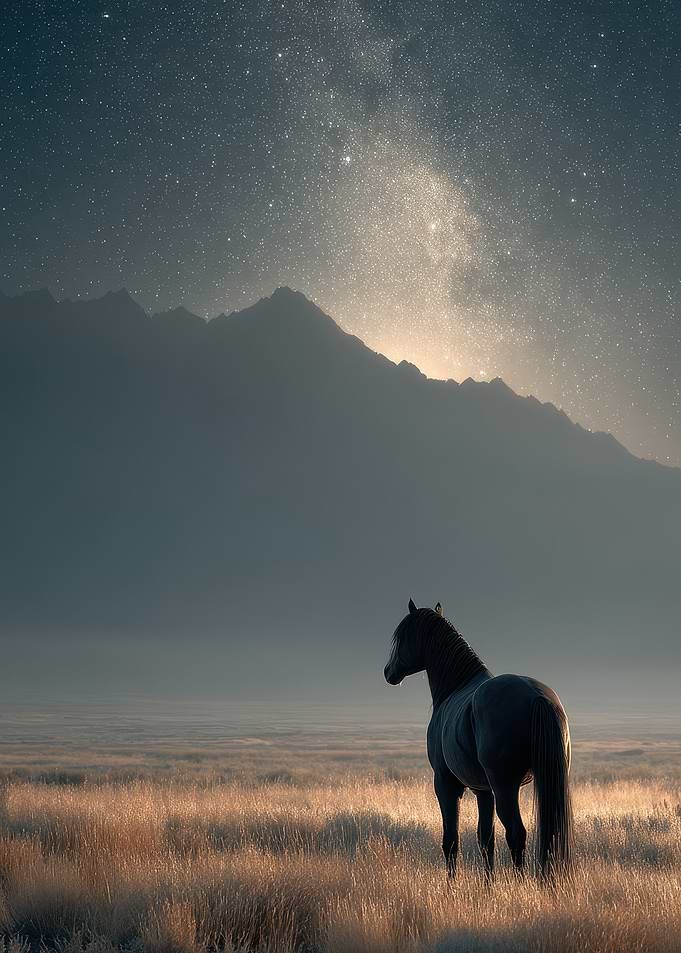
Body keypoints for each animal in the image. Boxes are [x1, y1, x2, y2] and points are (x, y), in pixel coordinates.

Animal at [384, 599, 572, 879]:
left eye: (402, 636)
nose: (388, 672)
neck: (454, 687)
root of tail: (535, 696)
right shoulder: (483, 790)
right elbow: (486, 840)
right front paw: (488, 885)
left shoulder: (446, 784)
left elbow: (451, 841)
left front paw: (452, 885)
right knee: (550, 835)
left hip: (506, 787)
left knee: (516, 834)